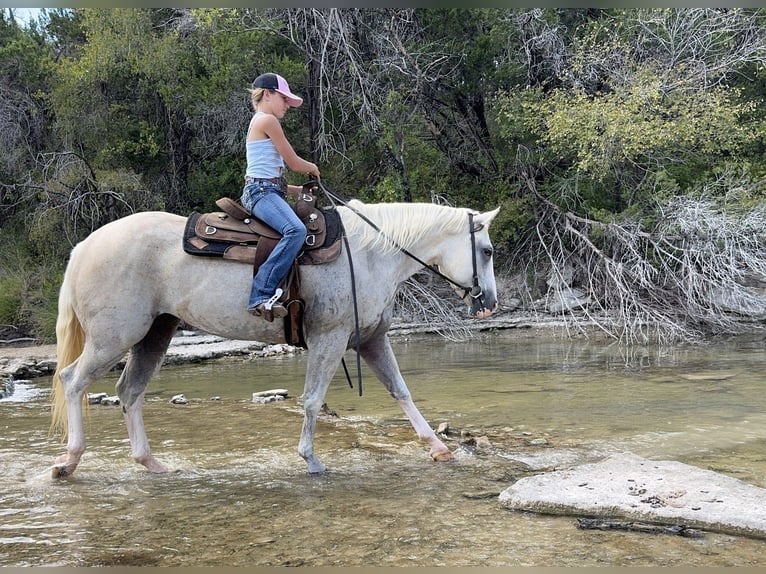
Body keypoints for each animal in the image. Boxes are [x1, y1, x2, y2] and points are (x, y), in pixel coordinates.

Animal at [49, 199, 500, 478]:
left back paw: (151, 463)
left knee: (129, 391)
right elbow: (313, 400)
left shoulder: (371, 340)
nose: (490, 303)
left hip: (154, 335)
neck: (370, 255)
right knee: (72, 380)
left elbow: (401, 392)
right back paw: (69, 462)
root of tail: (85, 245)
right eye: (488, 250)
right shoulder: (330, 339)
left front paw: (438, 448)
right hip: (113, 338)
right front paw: (311, 459)